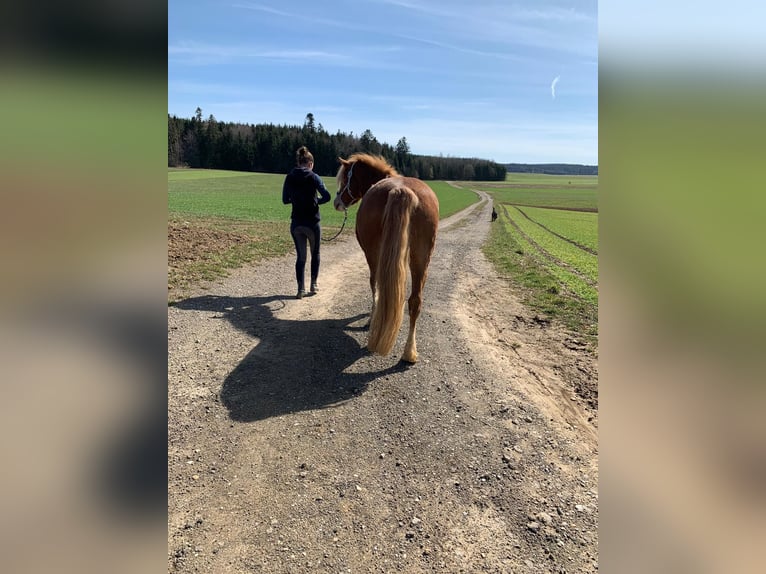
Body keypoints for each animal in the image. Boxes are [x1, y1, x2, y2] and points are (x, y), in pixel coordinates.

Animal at [334, 151, 438, 362]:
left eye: (347, 177)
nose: (337, 202)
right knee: (415, 301)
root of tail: (402, 190)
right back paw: (409, 351)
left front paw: (370, 318)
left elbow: (374, 284)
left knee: (377, 283)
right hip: (421, 258)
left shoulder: (371, 254)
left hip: (375, 253)